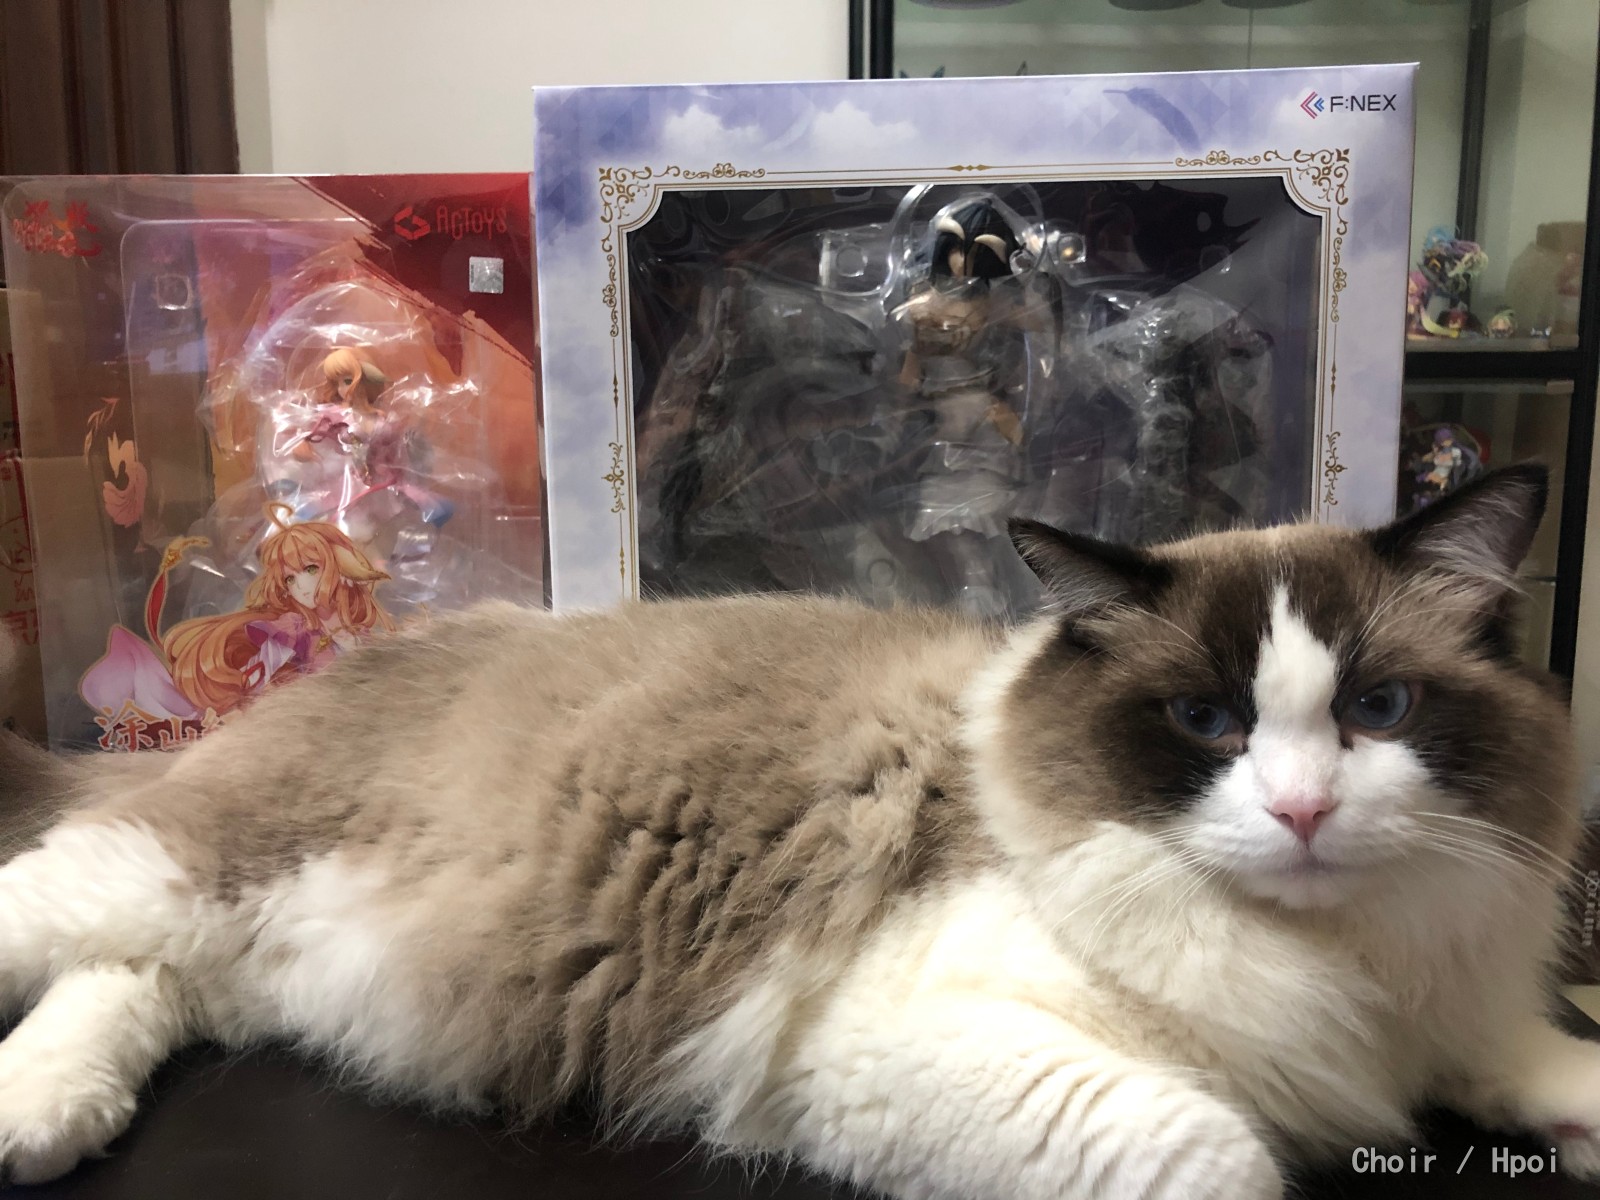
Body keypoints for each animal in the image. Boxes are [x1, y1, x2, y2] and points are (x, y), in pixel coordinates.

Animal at [0, 462, 1594, 1200]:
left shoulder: (1447, 1017)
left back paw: (39, 1116)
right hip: (186, 868)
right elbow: (1222, 1155)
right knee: (75, 927)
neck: (1348, 974)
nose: (1306, 810)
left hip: (247, 930)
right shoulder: (879, 1047)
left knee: (144, 984)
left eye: (1380, 708)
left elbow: (1548, 1067)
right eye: (1204, 724)